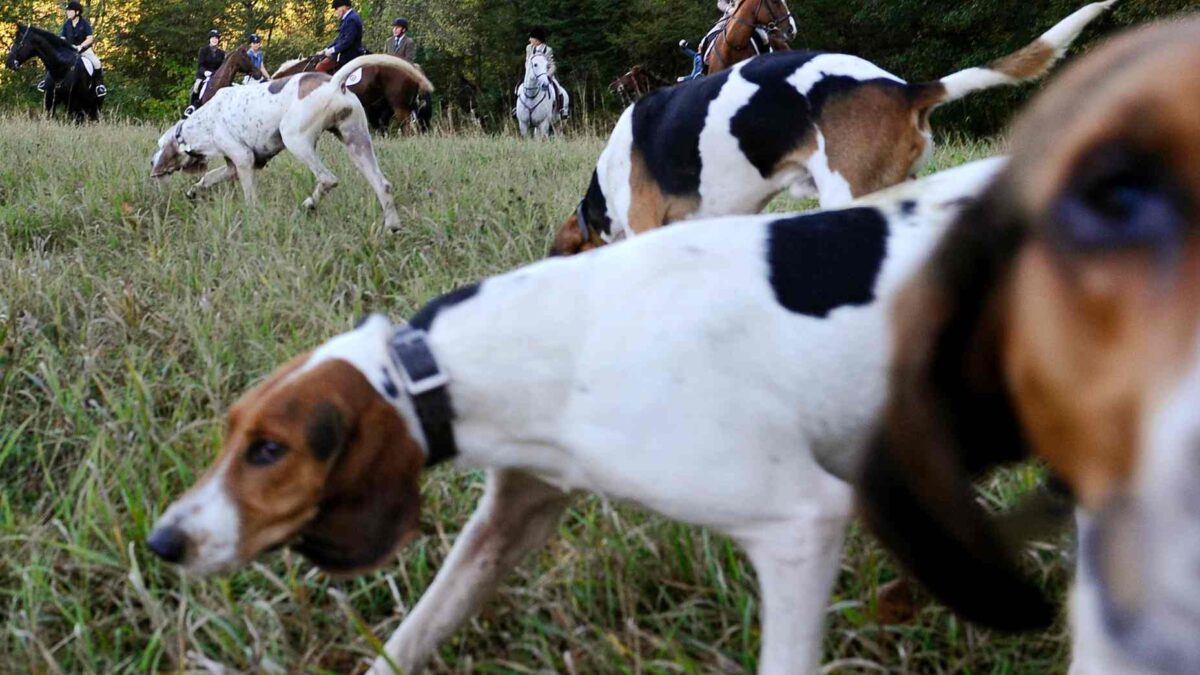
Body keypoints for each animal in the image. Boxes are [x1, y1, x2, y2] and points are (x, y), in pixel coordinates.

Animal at [145, 154, 1008, 667]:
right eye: (231, 433)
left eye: (270, 449)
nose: (162, 541)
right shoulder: (511, 516)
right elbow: (413, 630)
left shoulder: (801, 524)